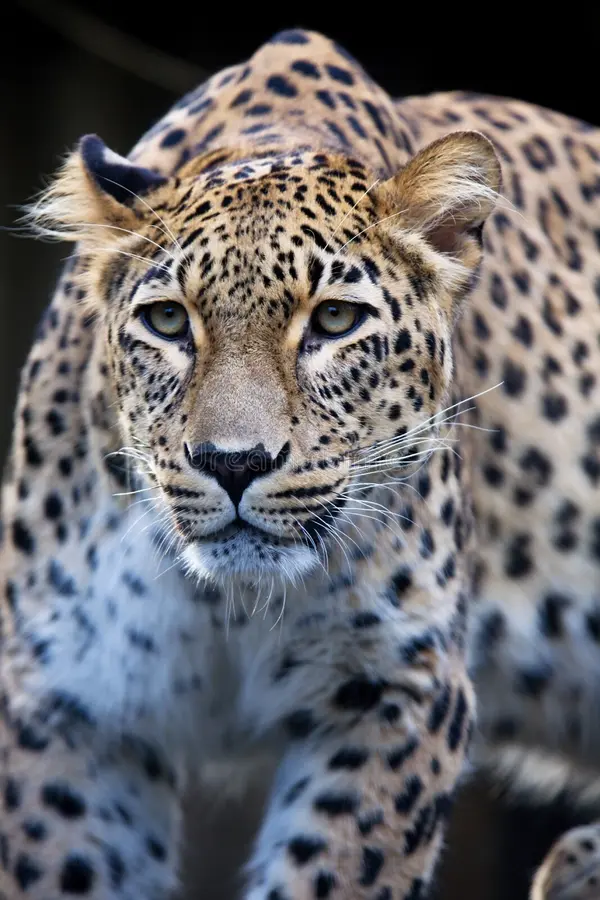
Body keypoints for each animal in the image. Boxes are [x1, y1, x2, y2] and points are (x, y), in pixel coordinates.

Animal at [1, 26, 599, 900]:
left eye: (336, 321)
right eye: (169, 322)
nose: (233, 462)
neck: (227, 604)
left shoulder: (397, 689)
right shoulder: (67, 704)